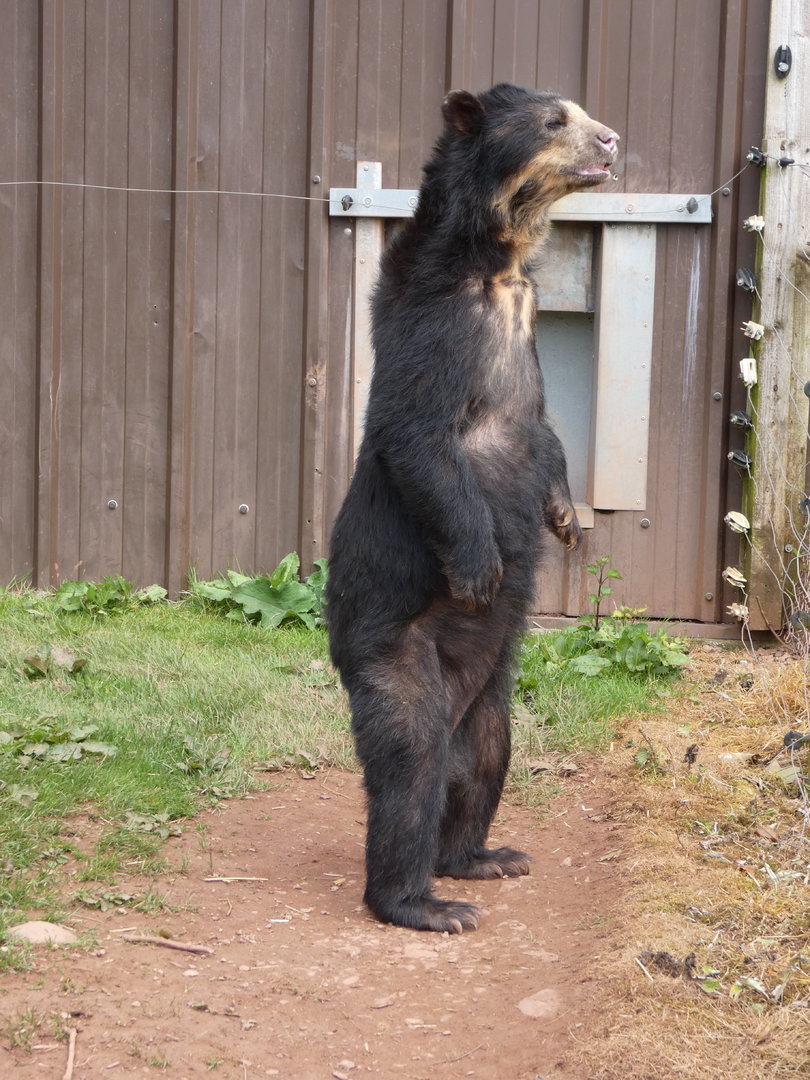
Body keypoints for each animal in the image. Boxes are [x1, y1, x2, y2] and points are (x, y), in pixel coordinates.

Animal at [326, 83, 619, 933]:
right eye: (557, 120)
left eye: (581, 112)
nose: (613, 141)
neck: (498, 261)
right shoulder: (437, 322)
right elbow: (419, 435)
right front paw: (484, 569)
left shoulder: (525, 332)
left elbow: (544, 434)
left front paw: (566, 518)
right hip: (394, 652)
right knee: (410, 767)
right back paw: (423, 900)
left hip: (490, 695)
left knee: (486, 755)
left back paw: (483, 855)